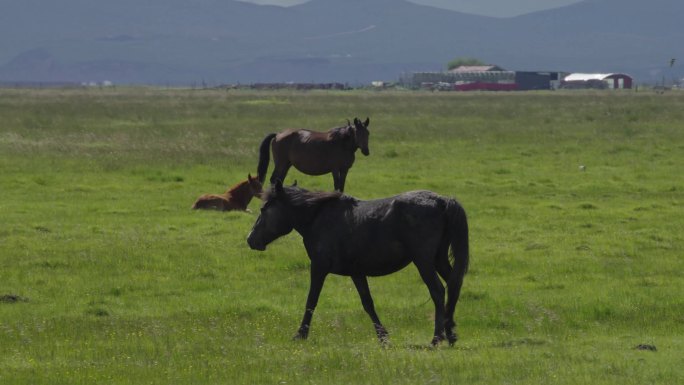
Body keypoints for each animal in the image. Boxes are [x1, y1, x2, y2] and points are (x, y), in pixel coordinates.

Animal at [247, 180, 470, 344]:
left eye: (264, 209)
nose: (250, 239)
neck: (318, 217)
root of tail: (442, 201)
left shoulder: (319, 267)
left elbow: (311, 300)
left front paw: (300, 334)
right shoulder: (357, 272)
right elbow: (368, 303)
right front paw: (383, 338)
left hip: (423, 261)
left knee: (438, 291)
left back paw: (437, 338)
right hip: (439, 259)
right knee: (454, 285)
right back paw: (450, 334)